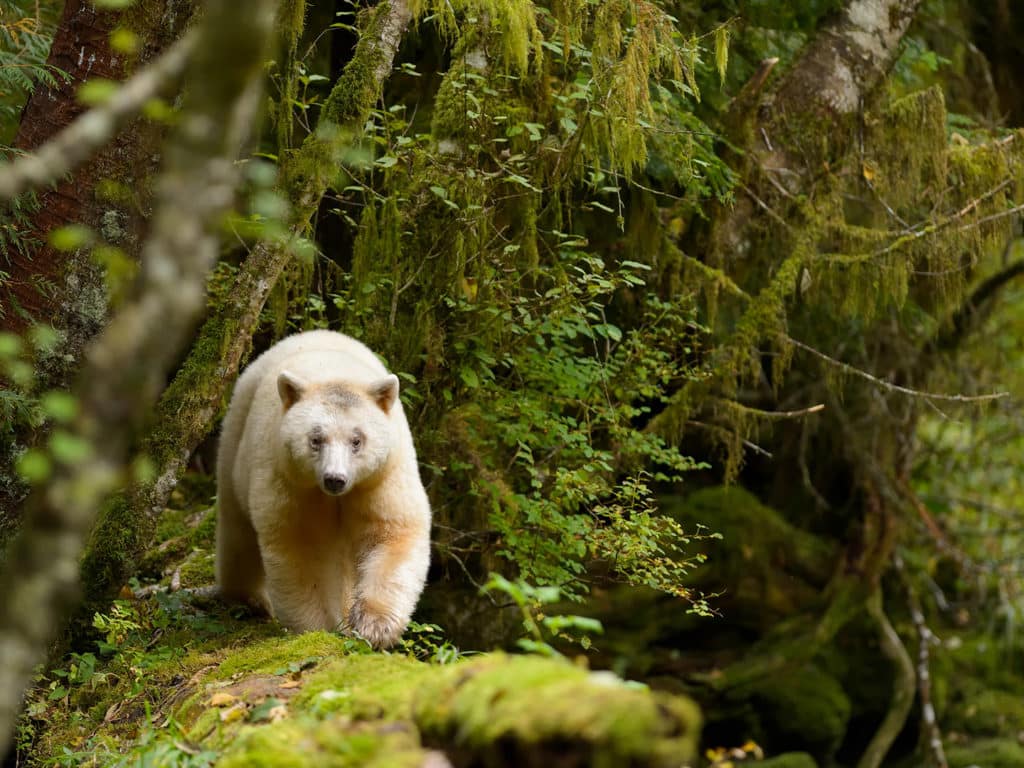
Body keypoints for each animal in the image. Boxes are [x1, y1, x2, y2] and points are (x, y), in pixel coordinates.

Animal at [215, 329, 431, 648]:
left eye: (357, 440)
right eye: (316, 439)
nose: (334, 479)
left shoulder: (381, 478)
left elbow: (391, 533)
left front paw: (374, 626)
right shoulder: (292, 484)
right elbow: (301, 551)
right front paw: (319, 628)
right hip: (237, 440)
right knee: (237, 529)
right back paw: (247, 599)